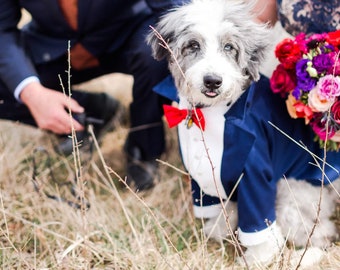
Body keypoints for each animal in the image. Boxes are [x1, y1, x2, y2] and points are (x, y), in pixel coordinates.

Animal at [147, 0, 338, 266]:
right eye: (193, 45)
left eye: (229, 47)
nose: (212, 81)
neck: (211, 115)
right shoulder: (200, 176)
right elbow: (218, 204)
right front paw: (218, 227)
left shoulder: (255, 174)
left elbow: (258, 221)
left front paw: (258, 257)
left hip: (292, 190)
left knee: (311, 225)